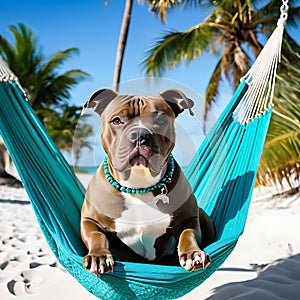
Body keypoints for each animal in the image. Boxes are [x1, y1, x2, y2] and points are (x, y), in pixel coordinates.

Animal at [80, 88, 216, 276]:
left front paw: (192, 254)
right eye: (117, 120)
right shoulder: (89, 220)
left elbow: (188, 234)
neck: (139, 185)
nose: (139, 134)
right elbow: (96, 235)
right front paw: (98, 257)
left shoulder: (189, 218)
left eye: (160, 120)